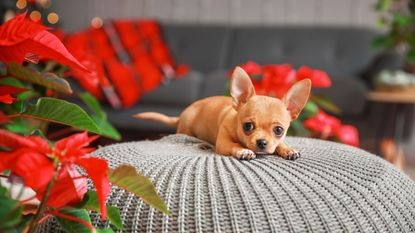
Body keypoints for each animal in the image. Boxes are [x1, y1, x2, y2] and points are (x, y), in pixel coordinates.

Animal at [135, 66, 310, 159]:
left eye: (279, 130)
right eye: (248, 126)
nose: (261, 142)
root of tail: (182, 115)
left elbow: (279, 144)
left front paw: (288, 149)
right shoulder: (223, 143)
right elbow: (234, 145)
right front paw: (243, 151)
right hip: (187, 129)